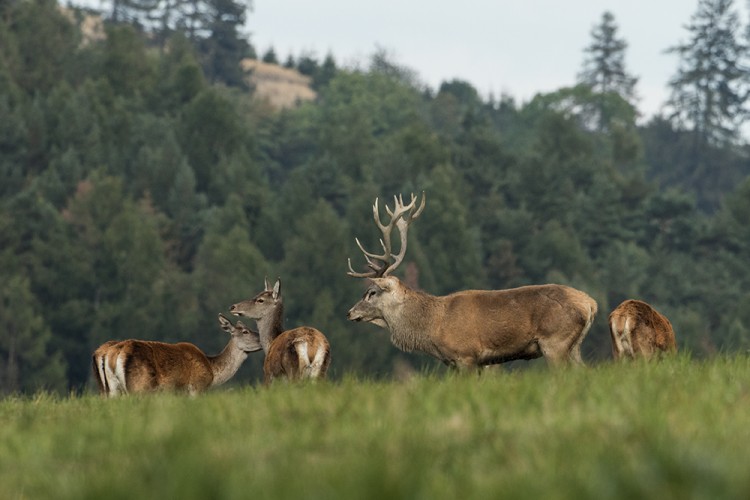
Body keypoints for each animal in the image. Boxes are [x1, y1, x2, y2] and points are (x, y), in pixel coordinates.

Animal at [92, 314, 262, 396]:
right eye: (245, 331)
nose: (263, 339)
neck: (212, 372)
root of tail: (111, 354)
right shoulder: (197, 387)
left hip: (109, 389)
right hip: (139, 386)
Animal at [346, 193, 600, 370]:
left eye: (371, 292)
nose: (350, 312)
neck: (434, 326)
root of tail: (591, 304)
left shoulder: (466, 355)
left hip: (555, 341)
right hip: (573, 346)